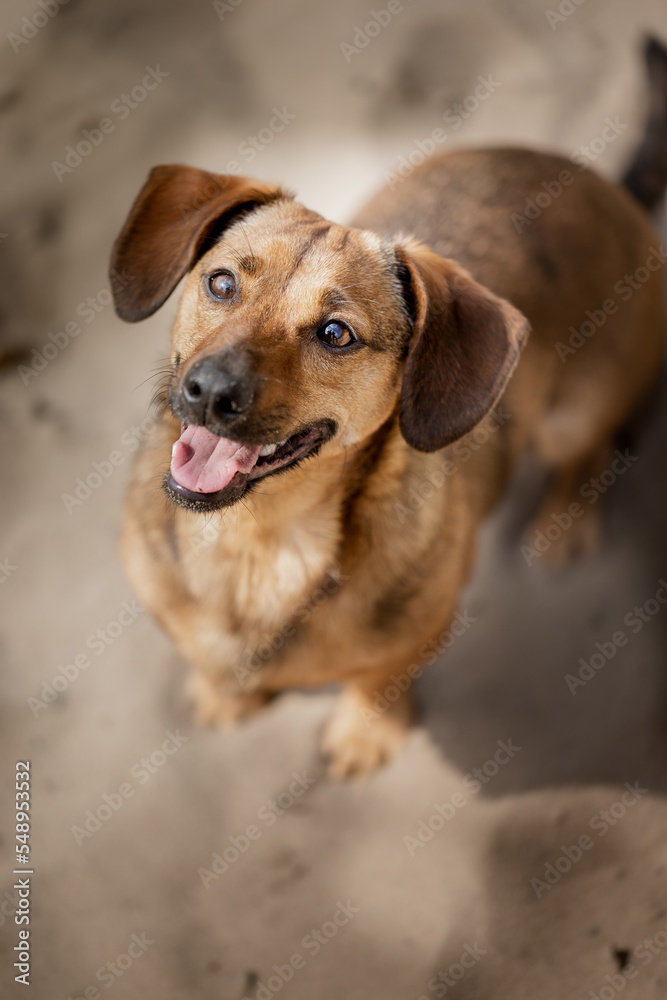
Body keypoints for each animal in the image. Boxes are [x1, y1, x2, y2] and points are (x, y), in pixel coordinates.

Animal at [111, 39, 667, 776]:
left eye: (335, 334)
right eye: (221, 283)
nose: (208, 392)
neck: (258, 541)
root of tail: (605, 188)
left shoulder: (419, 630)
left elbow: (378, 678)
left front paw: (364, 732)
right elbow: (206, 657)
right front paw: (225, 696)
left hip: (568, 419)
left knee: (587, 453)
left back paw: (562, 522)